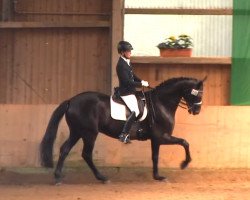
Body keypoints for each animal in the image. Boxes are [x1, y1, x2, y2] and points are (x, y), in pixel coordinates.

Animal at [40, 76, 205, 183]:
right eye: (196, 94)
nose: (197, 111)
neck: (161, 103)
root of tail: (71, 101)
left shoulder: (156, 139)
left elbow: (155, 156)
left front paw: (158, 177)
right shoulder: (161, 136)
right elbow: (184, 142)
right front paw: (184, 163)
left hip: (77, 132)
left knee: (65, 149)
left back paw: (58, 177)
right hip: (89, 133)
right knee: (86, 154)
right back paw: (102, 178)